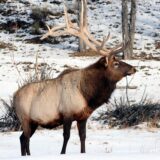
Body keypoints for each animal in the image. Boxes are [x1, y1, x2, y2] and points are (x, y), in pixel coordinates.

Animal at [14, 0, 136, 156]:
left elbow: (83, 137)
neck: (88, 95)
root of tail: (14, 97)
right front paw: (62, 153)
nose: (133, 68)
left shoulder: (83, 117)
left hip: (33, 122)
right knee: (26, 139)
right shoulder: (67, 113)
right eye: (116, 63)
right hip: (25, 119)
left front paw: (83, 152)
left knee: (22, 138)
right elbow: (66, 137)